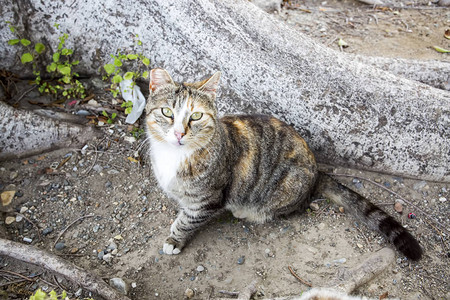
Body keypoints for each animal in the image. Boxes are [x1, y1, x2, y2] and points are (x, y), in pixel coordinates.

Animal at [144, 68, 422, 260]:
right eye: (167, 112)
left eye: (196, 116)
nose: (179, 133)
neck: (174, 157)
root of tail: (317, 171)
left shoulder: (208, 199)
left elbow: (188, 220)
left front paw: (175, 239)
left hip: (286, 186)